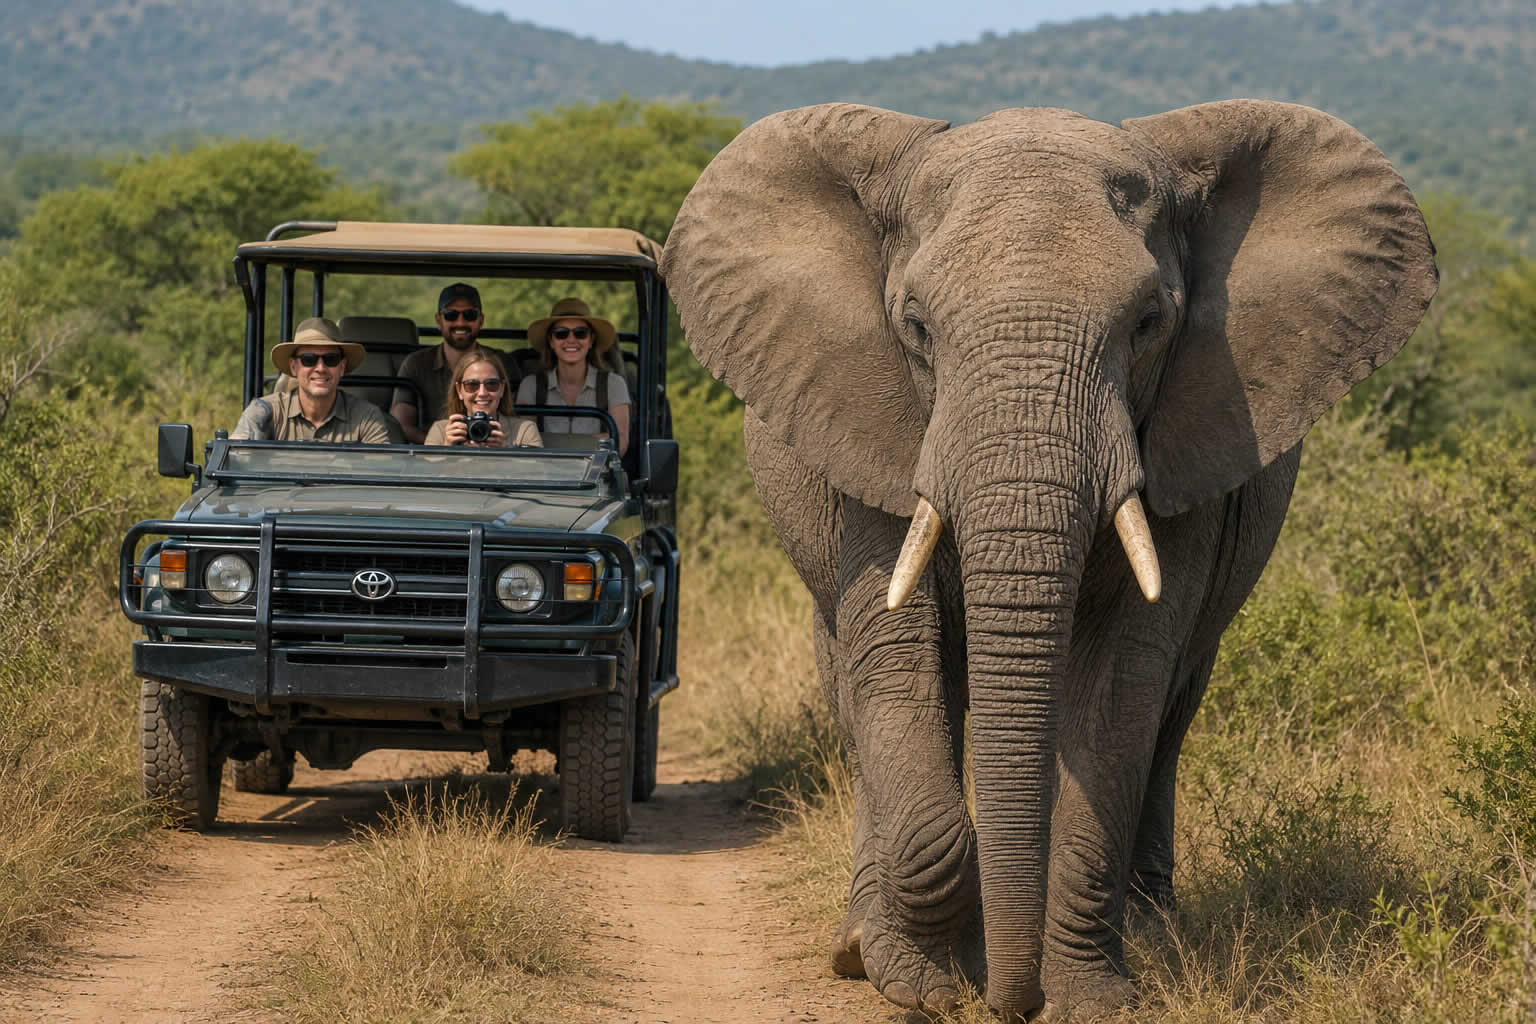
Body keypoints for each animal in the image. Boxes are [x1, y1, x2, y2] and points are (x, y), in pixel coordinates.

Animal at [661, 100, 1436, 1020]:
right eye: (916, 329)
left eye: (1148, 325)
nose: (1009, 1001)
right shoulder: (879, 434)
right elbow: (897, 661)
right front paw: (925, 981)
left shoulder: (1186, 443)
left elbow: (1123, 684)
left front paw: (1085, 996)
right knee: (854, 693)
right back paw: (861, 948)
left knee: (1172, 709)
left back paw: (1152, 937)